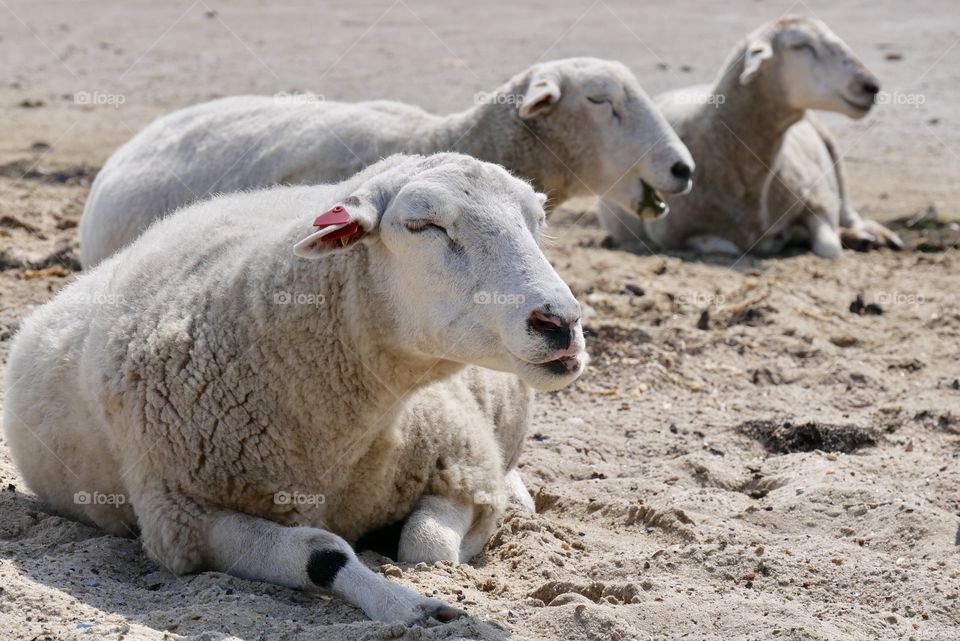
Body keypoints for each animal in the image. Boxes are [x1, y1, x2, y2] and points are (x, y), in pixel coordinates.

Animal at [1, 152, 584, 624]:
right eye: (422, 224)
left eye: (537, 221)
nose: (561, 322)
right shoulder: (184, 520)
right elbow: (320, 553)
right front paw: (407, 604)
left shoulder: (463, 464)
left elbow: (428, 548)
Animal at [596, 15, 904, 255]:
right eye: (801, 45)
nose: (871, 86)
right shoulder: (669, 235)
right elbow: (725, 245)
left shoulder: (821, 202)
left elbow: (829, 247)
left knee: (850, 214)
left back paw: (874, 235)